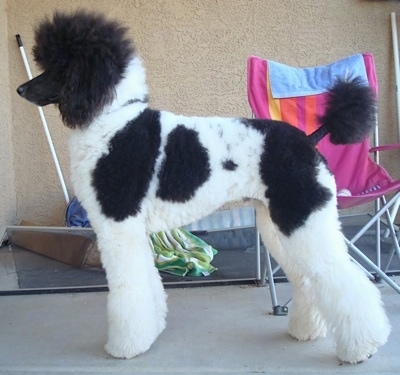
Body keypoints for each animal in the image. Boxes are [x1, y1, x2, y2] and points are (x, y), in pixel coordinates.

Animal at [16, 11, 390, 364]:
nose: (21, 90)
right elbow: (148, 285)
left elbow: (128, 290)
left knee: (342, 278)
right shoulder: (136, 232)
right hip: (281, 225)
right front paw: (151, 331)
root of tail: (311, 140)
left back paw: (364, 347)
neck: (113, 120)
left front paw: (125, 347)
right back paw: (308, 330)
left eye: (59, 65)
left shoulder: (118, 226)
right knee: (309, 279)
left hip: (302, 220)